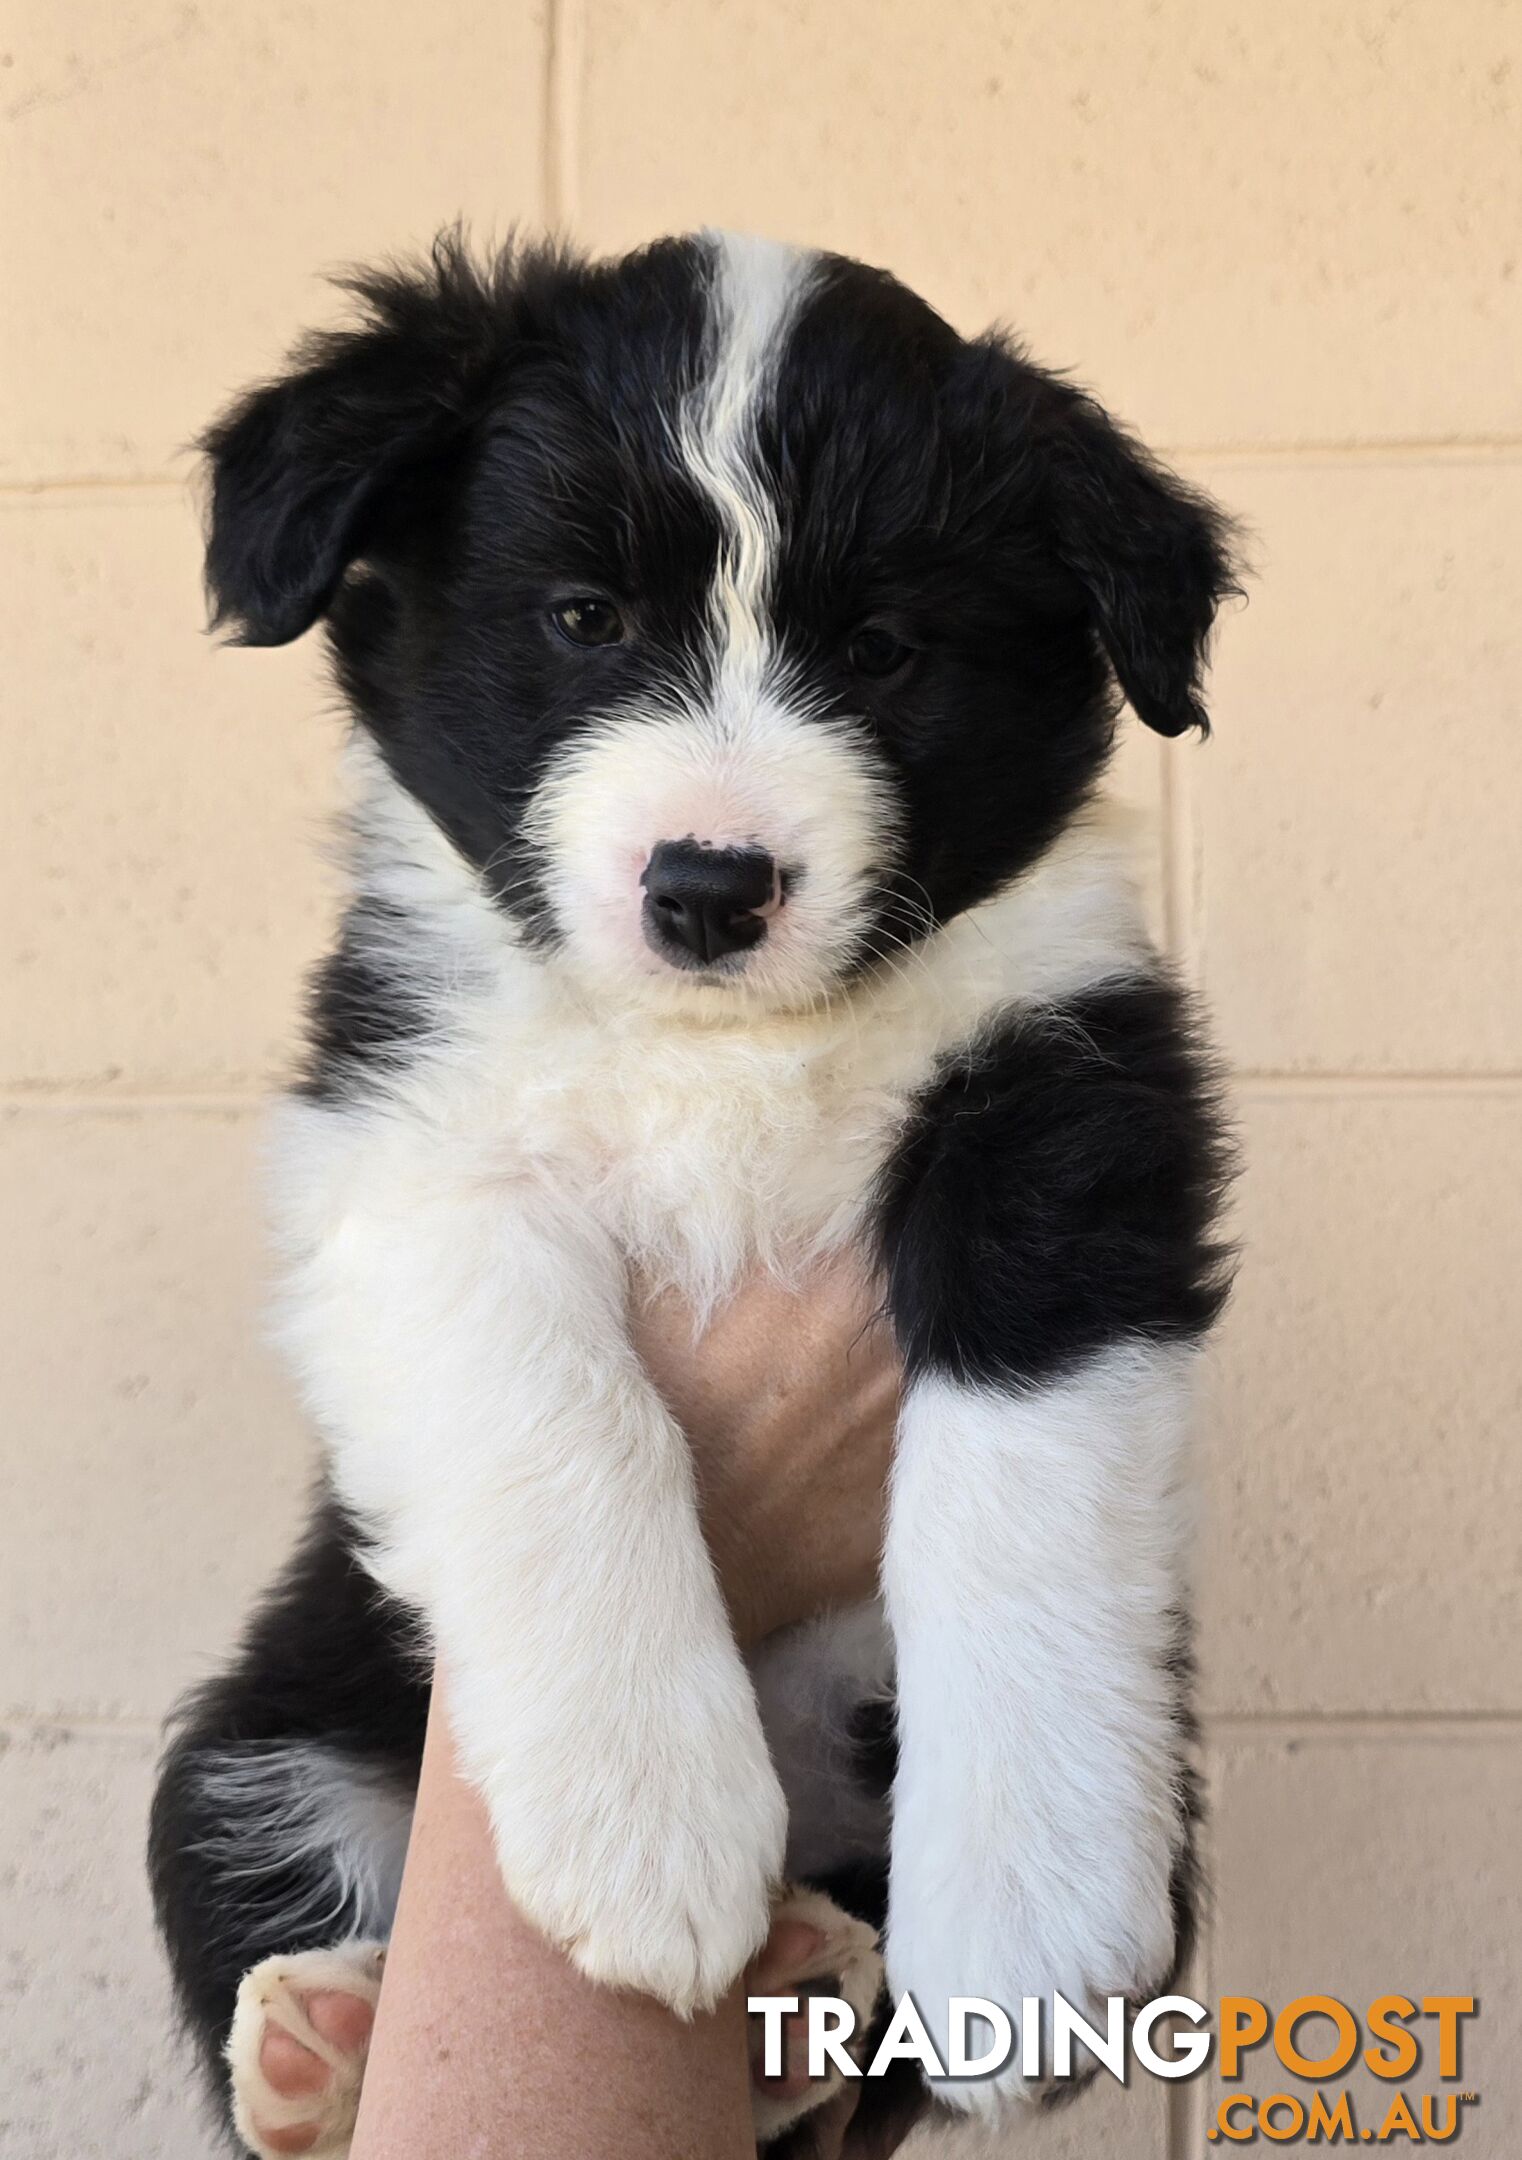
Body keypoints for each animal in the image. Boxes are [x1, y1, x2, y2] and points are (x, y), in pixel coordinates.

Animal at [148, 227, 1234, 2151]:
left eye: (880, 650)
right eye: (585, 619)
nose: (711, 888)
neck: (722, 1046)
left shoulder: (1069, 1117)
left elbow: (1016, 1488)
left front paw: (1022, 1909)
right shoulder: (409, 1159)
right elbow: (564, 1416)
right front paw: (643, 1828)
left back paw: (802, 1991)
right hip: (264, 1735)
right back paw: (332, 2042)